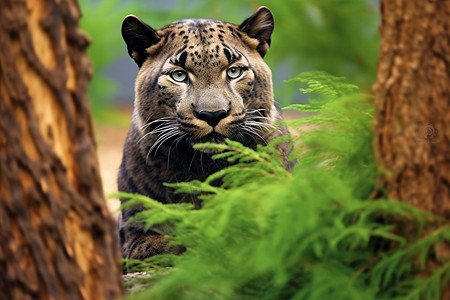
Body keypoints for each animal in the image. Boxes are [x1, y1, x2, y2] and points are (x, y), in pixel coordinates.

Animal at [118, 4, 290, 268]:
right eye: (179, 75)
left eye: (234, 72)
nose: (213, 114)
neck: (206, 167)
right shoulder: (134, 230)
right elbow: (162, 245)